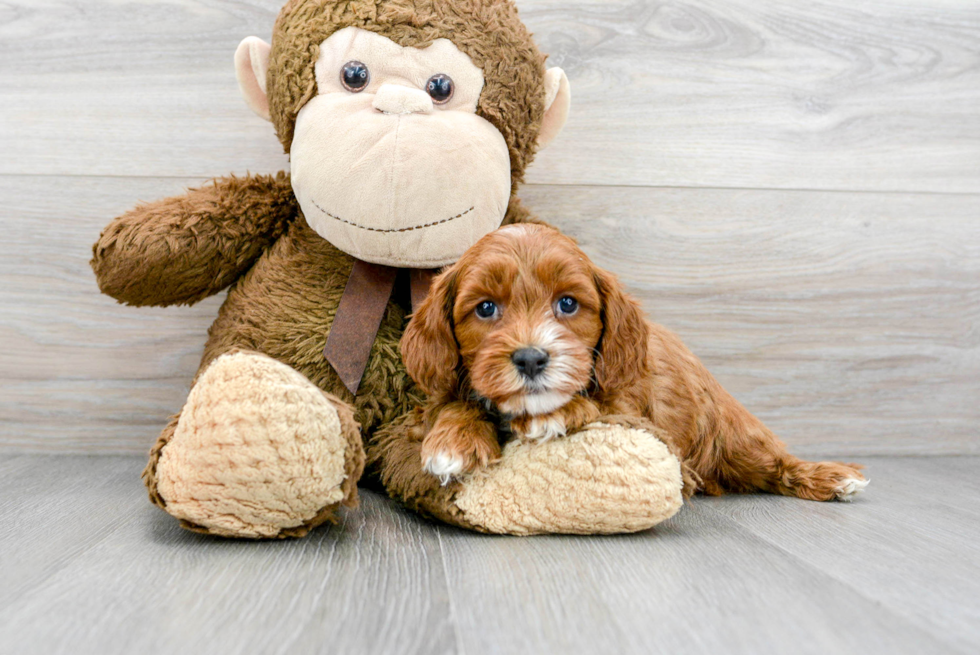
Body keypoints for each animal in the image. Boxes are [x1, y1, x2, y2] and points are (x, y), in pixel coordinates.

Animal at [402, 226, 868, 502]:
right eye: (485, 308)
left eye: (567, 303)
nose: (531, 358)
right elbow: (453, 404)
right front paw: (453, 443)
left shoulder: (632, 407)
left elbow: (599, 406)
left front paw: (554, 414)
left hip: (733, 434)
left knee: (774, 463)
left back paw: (831, 476)